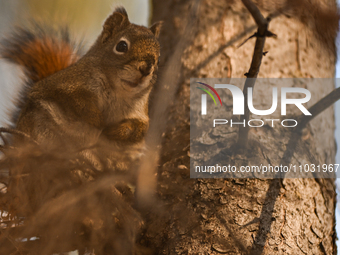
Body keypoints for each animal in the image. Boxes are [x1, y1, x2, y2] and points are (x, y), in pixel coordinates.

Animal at [0, 7, 162, 163]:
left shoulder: (140, 112)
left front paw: (117, 131)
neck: (117, 91)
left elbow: (140, 128)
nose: (147, 68)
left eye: (158, 56)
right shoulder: (64, 85)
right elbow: (78, 101)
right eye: (121, 46)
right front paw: (99, 120)